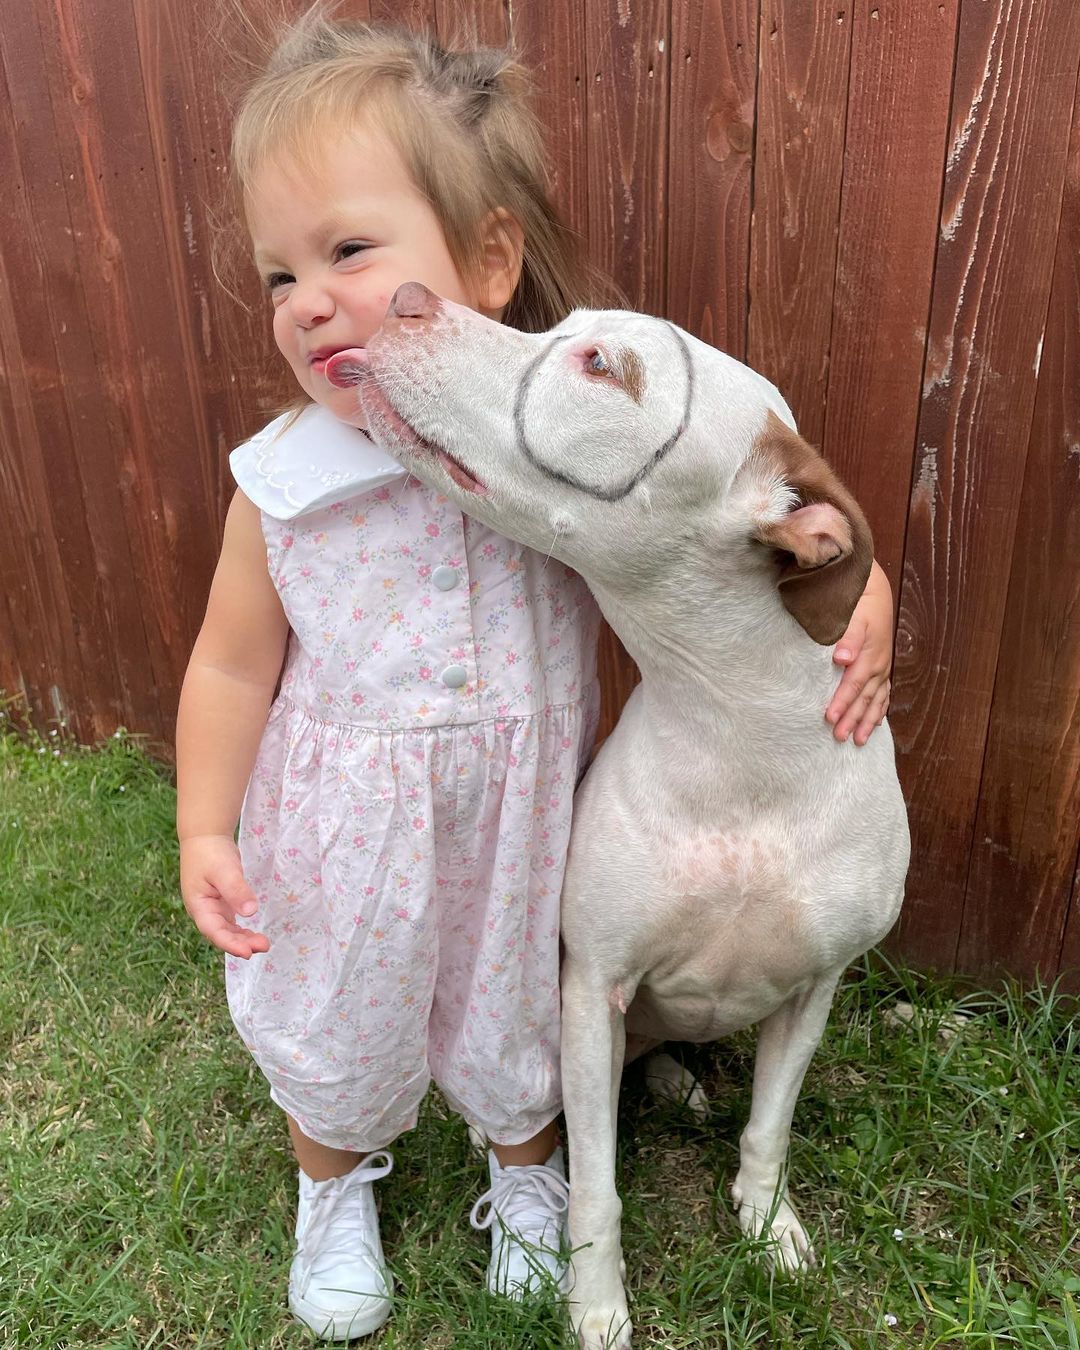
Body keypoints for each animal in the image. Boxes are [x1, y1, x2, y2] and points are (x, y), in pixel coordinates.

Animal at [325, 279, 907, 1344]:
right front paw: (593, 1304)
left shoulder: (815, 989)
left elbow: (769, 1127)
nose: (408, 297)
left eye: (601, 365)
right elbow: (595, 1183)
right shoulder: (592, 991)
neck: (737, 736)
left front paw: (769, 1226)